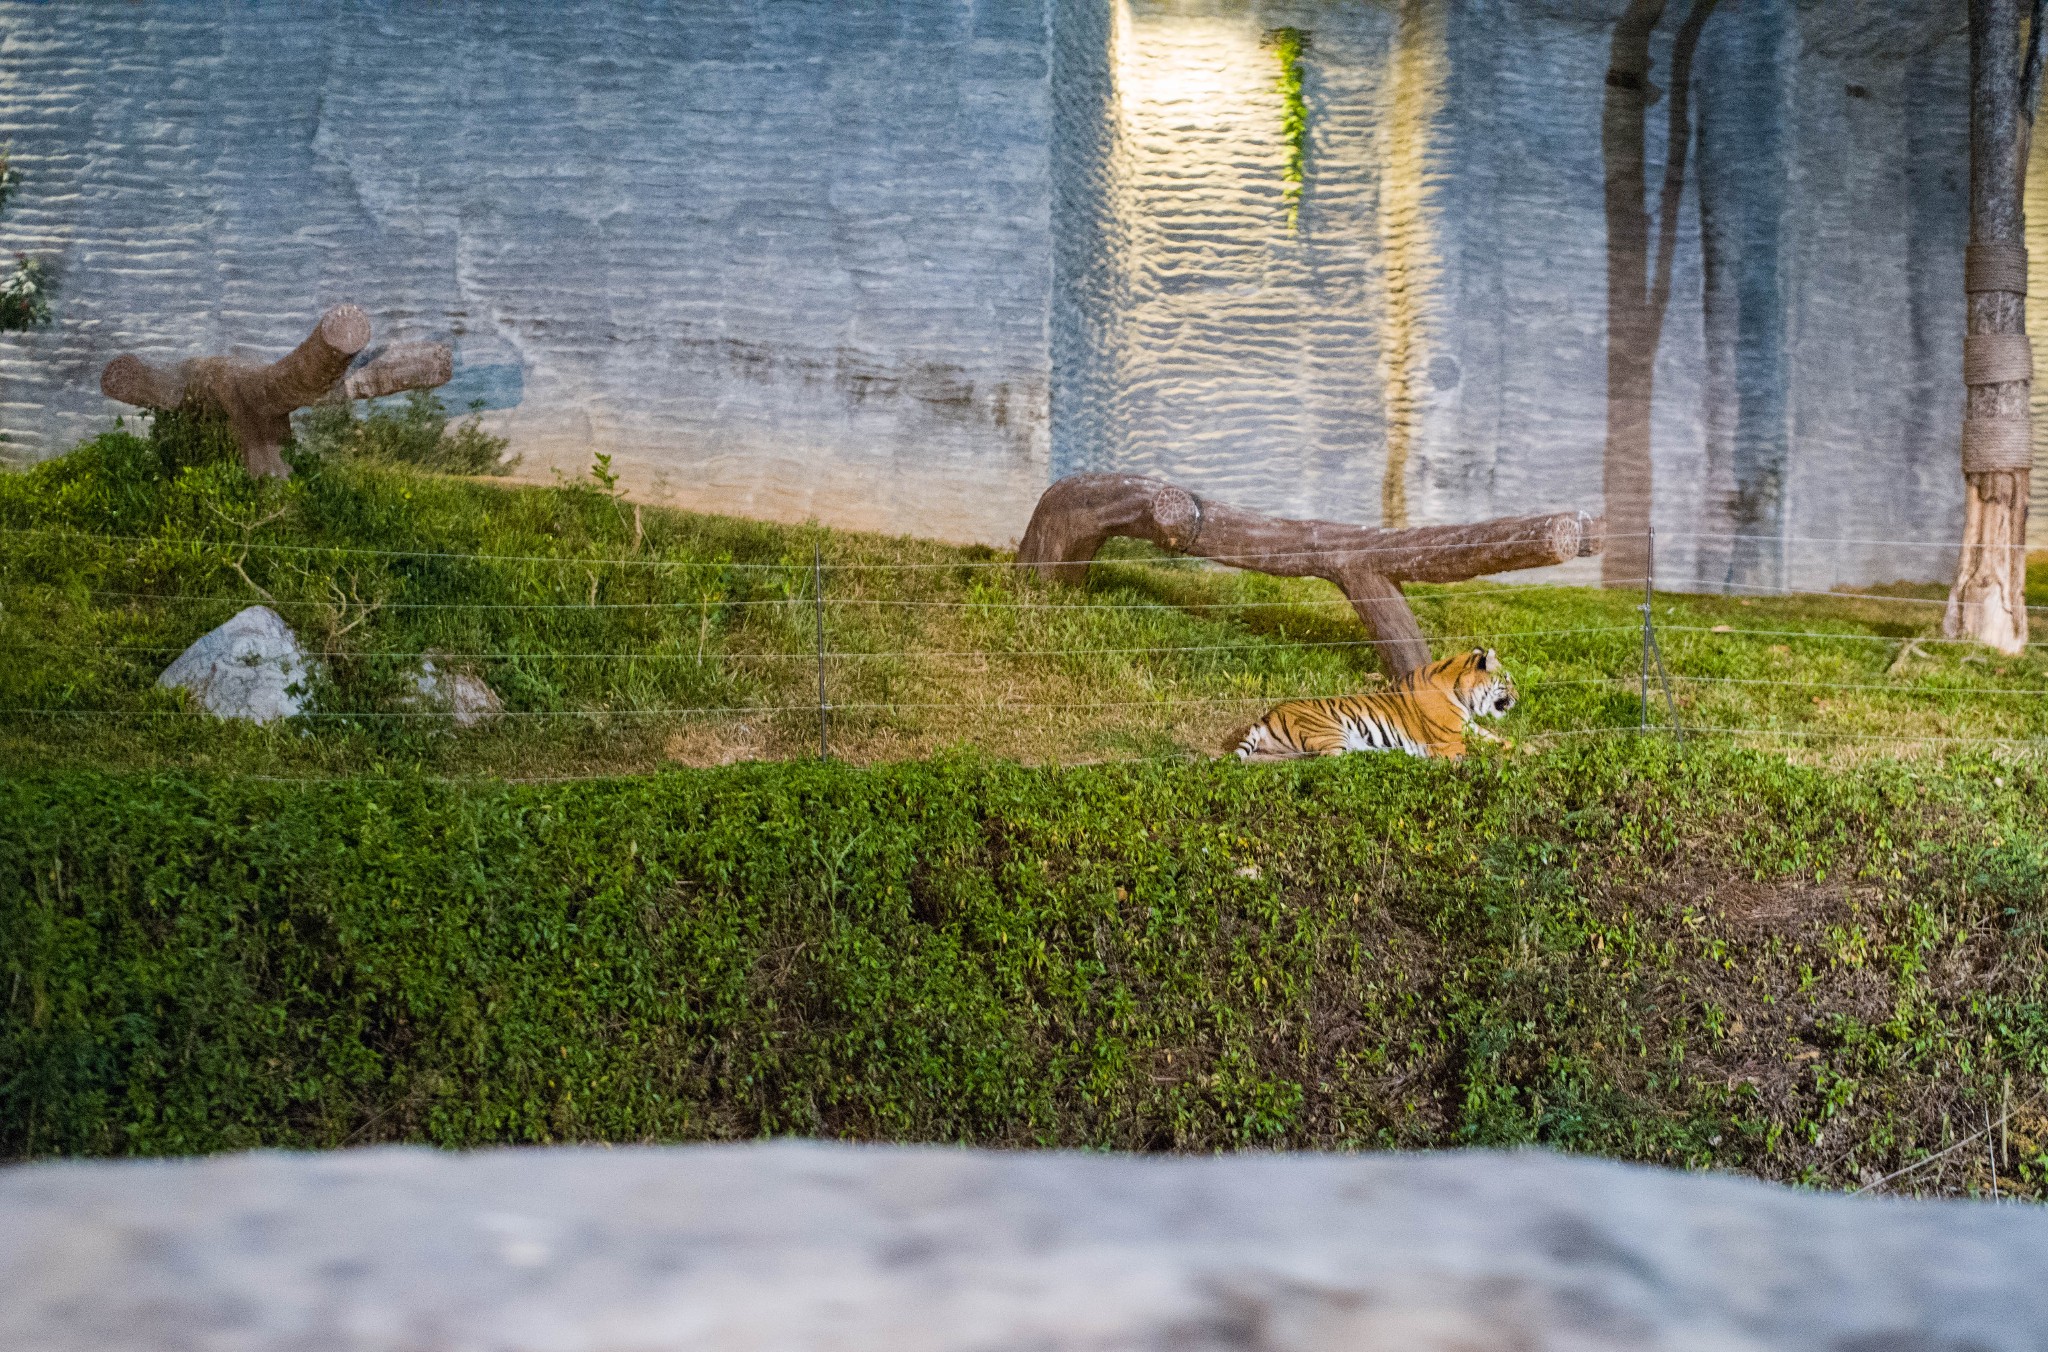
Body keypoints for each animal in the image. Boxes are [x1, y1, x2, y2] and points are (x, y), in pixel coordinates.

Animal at [1220, 647, 1515, 762]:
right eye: (1508, 681)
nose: (1518, 697)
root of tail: (1266, 716)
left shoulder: (1471, 728)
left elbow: (1502, 740)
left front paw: (1521, 747)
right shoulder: (1450, 744)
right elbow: (1479, 754)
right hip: (1332, 732)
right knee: (1329, 761)